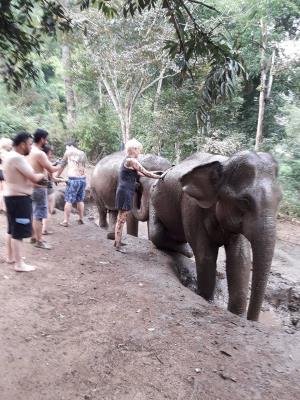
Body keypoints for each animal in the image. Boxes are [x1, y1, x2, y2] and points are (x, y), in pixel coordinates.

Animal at [149, 151, 282, 322]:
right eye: (244, 201)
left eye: (280, 199)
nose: (251, 320)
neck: (224, 163)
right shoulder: (191, 205)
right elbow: (205, 255)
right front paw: (206, 299)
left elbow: (240, 260)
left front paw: (236, 314)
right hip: (153, 197)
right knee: (156, 234)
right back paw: (186, 251)